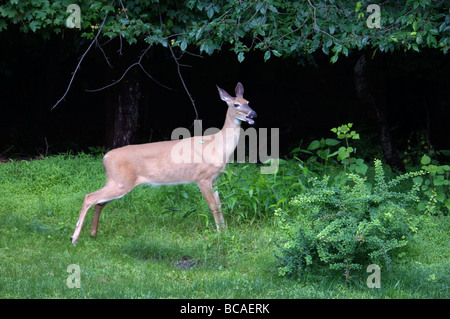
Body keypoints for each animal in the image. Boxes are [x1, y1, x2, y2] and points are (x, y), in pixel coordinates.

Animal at [72, 82, 258, 245]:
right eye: (236, 104)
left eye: (248, 102)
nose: (253, 115)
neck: (217, 145)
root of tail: (106, 157)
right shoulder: (202, 177)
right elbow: (213, 206)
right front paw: (220, 233)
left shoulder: (215, 180)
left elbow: (220, 205)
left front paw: (225, 231)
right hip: (120, 181)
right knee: (90, 197)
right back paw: (74, 238)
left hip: (117, 181)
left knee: (98, 202)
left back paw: (93, 234)